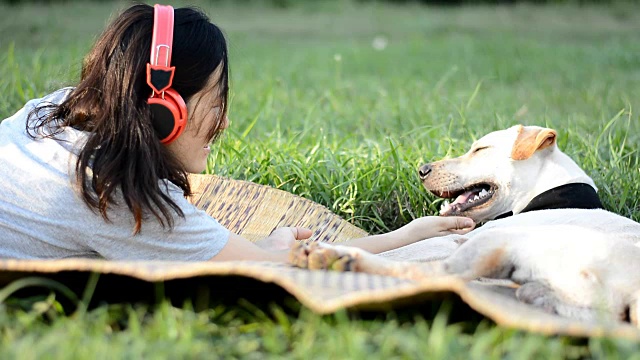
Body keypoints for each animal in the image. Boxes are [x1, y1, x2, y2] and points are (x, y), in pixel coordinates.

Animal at [290, 125, 640, 324]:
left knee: (434, 274)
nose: (421, 169)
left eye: (480, 149)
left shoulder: (451, 240)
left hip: (502, 245)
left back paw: (336, 258)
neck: (552, 192)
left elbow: (402, 251)